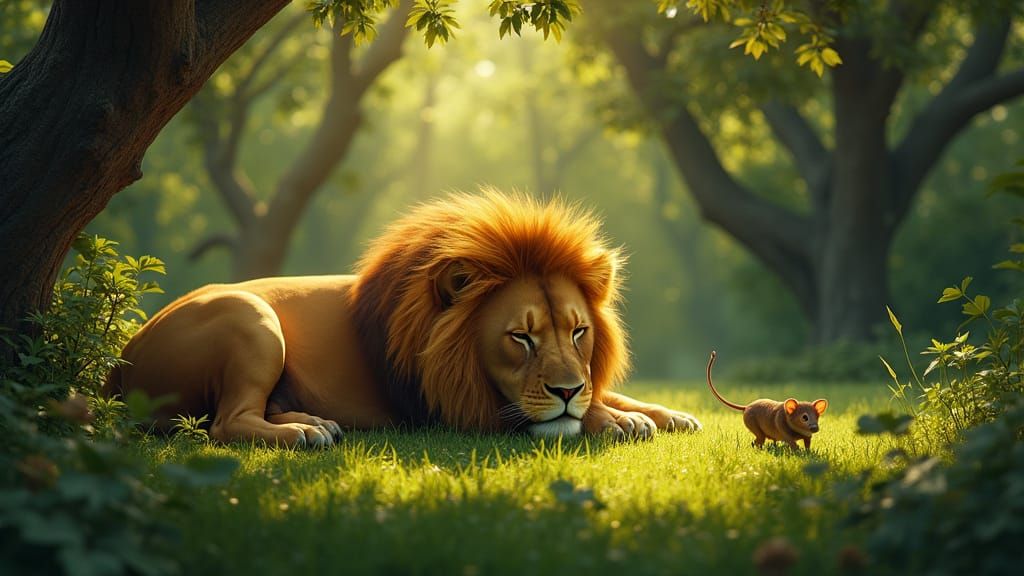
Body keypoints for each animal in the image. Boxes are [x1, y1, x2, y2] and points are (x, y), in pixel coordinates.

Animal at [105, 190, 701, 447]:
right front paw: (613, 420)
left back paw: (313, 420)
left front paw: (667, 413)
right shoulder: (456, 403)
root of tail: (120, 362)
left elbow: (609, 392)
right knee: (225, 422)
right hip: (251, 318)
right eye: (520, 338)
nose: (566, 390)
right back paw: (304, 432)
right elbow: (565, 414)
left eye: (579, 332)